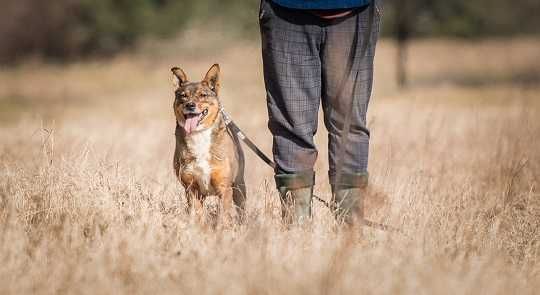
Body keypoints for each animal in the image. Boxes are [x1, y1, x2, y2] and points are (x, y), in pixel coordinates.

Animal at [171, 64, 247, 227]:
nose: (190, 105)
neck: (199, 134)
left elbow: (223, 217)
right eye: (183, 96)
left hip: (239, 187)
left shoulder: (224, 188)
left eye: (203, 95)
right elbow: (198, 216)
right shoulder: (191, 189)